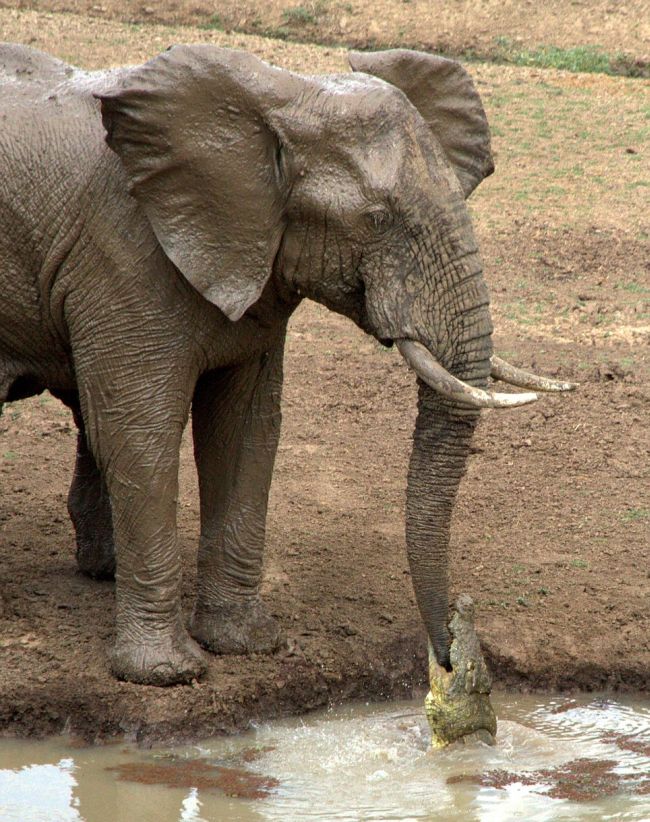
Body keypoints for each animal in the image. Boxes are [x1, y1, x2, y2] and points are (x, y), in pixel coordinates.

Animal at [0, 43, 568, 688]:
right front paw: (167, 674)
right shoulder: (122, 252)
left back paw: (103, 569)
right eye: (376, 219)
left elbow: (246, 430)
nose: (448, 658)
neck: (284, 95)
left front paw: (244, 644)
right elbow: (140, 431)